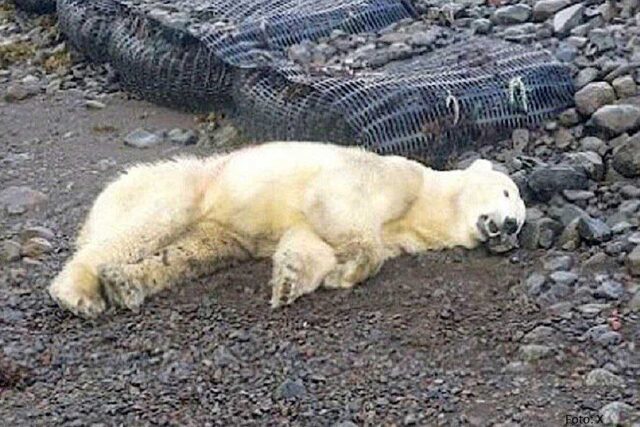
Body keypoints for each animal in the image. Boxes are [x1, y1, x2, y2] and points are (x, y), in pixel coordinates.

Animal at [49, 141, 526, 318]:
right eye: (507, 192)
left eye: (521, 220)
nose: (509, 225)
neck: (425, 203)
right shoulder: (388, 177)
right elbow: (339, 208)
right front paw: (349, 269)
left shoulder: (397, 230)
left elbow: (309, 241)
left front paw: (291, 281)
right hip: (183, 187)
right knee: (145, 227)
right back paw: (79, 293)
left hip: (216, 229)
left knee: (191, 253)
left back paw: (125, 284)